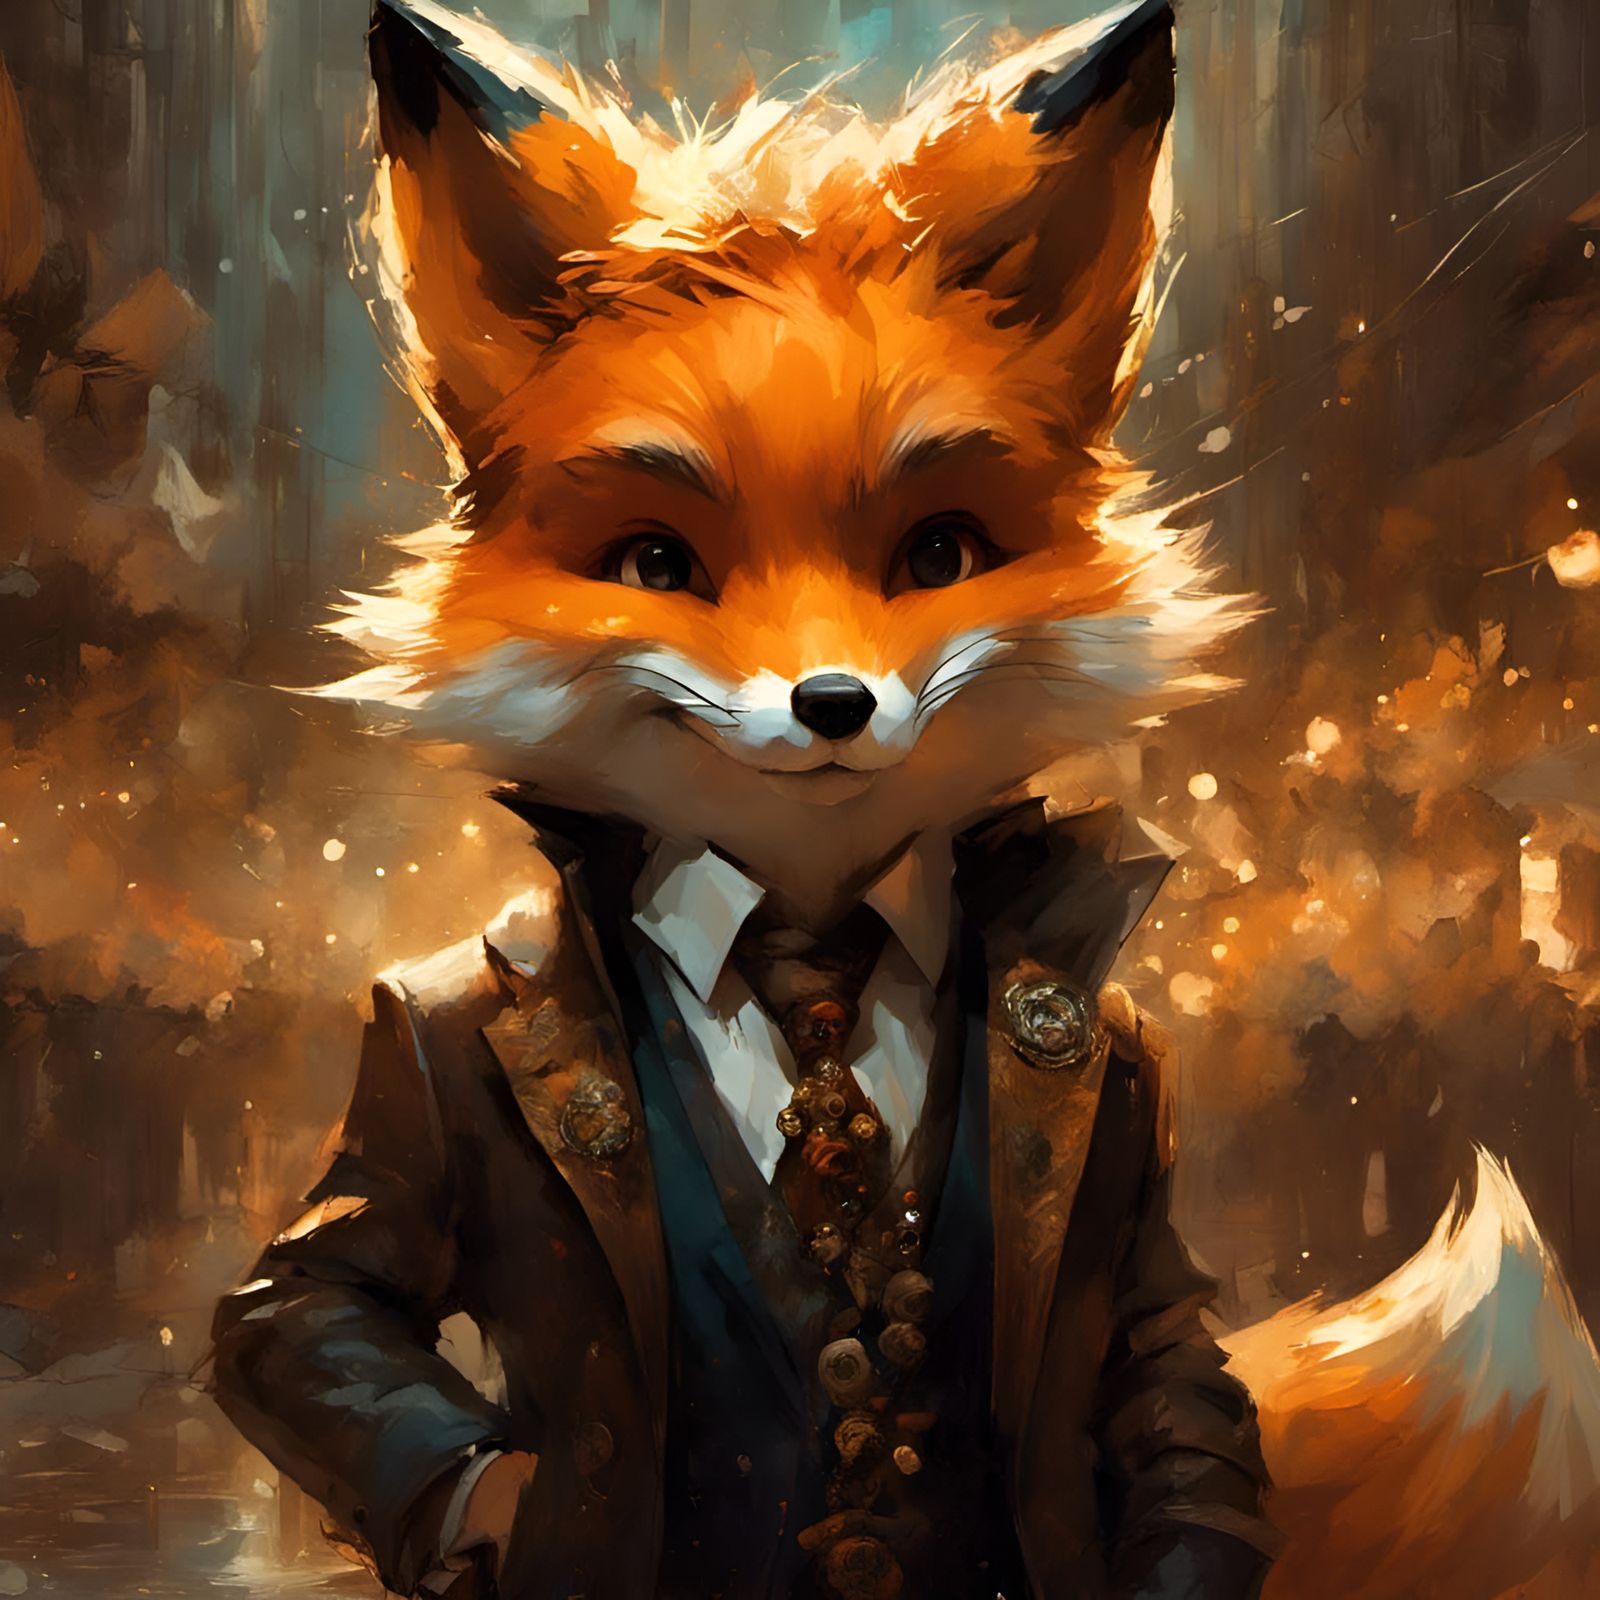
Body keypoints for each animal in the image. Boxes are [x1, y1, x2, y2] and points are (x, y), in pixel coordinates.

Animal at [210, 2, 1600, 1597]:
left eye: (938, 554)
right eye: (652, 563)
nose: (832, 705)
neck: (809, 933)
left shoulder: (1128, 1110)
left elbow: (1162, 1358)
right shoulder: (411, 1078)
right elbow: (304, 1300)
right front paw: (502, 1500)